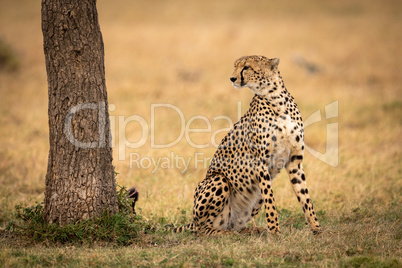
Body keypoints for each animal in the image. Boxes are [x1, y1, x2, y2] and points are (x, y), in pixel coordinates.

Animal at [174, 55, 322, 236]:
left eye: (246, 67)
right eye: (236, 67)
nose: (232, 78)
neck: (276, 100)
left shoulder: (295, 161)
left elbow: (305, 197)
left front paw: (317, 228)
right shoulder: (261, 162)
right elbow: (270, 200)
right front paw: (274, 231)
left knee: (233, 223)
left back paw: (250, 230)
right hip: (218, 180)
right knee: (202, 229)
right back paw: (226, 234)